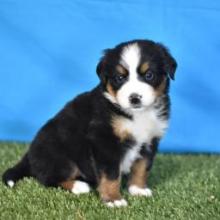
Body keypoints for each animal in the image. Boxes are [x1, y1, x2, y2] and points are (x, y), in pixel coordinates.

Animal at [2, 40, 177, 208]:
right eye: (119, 78)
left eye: (149, 75)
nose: (134, 98)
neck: (137, 114)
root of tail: (29, 155)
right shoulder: (104, 140)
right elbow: (110, 174)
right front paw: (113, 199)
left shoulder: (149, 140)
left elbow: (142, 167)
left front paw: (138, 189)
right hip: (61, 155)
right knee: (48, 178)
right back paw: (79, 186)